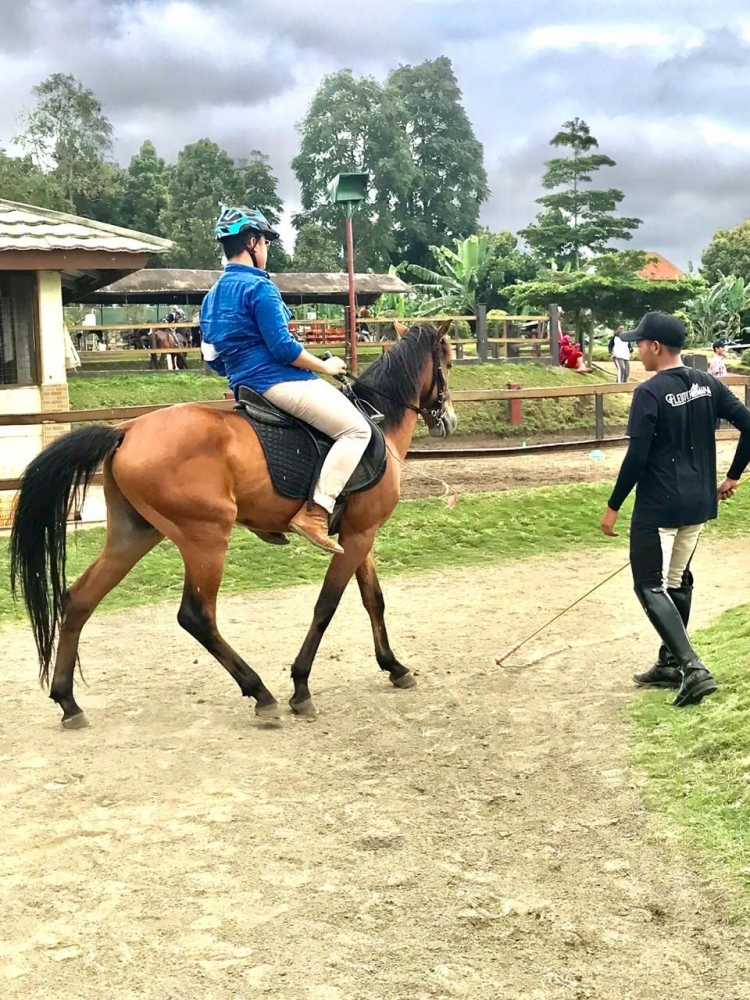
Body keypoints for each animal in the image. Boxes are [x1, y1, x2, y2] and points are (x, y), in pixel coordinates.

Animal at [10, 326, 458, 728]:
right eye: (449, 363)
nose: (449, 420)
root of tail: (126, 430)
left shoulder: (357, 535)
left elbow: (372, 599)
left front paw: (394, 667)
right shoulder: (359, 534)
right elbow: (326, 606)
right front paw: (301, 687)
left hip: (134, 535)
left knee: (79, 600)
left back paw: (68, 702)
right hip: (206, 538)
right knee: (196, 616)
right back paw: (261, 694)